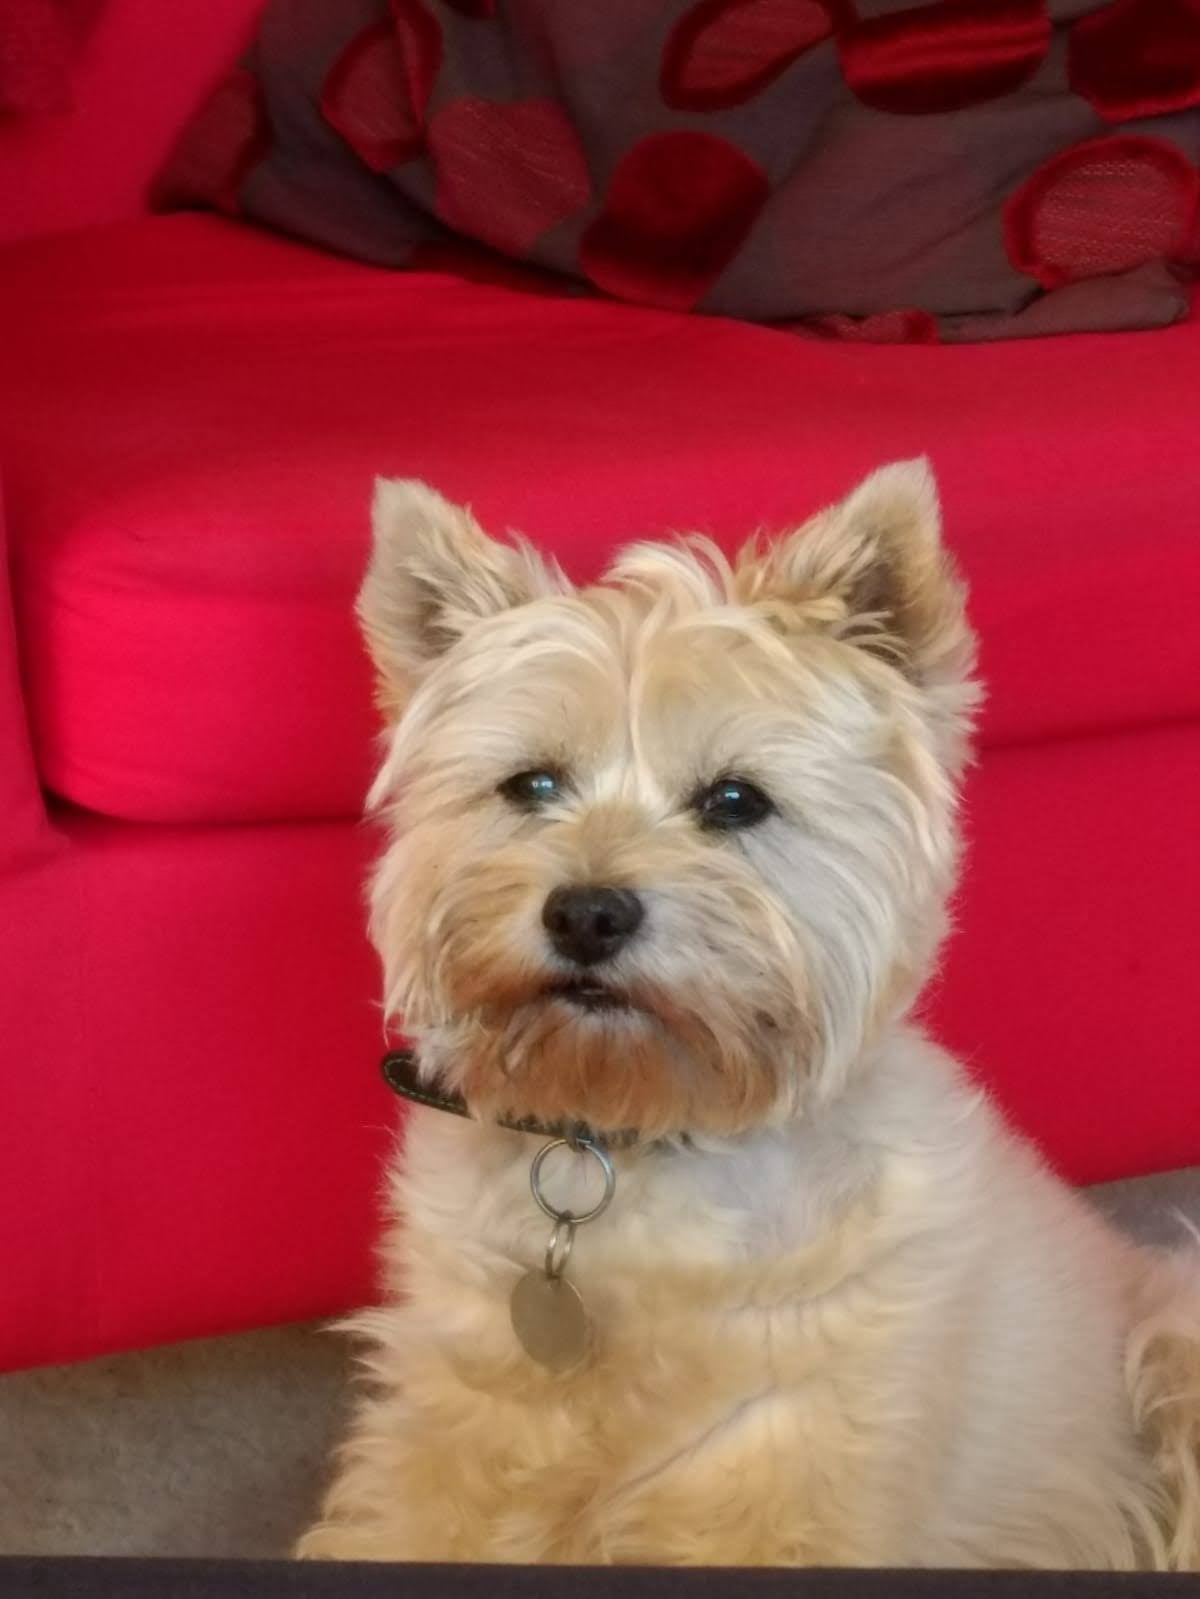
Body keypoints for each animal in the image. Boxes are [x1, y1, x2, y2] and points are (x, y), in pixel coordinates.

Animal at [299, 462, 1200, 1568]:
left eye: (736, 801)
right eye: (531, 784)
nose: (586, 913)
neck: (631, 1150)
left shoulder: (792, 1492)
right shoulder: (437, 1471)